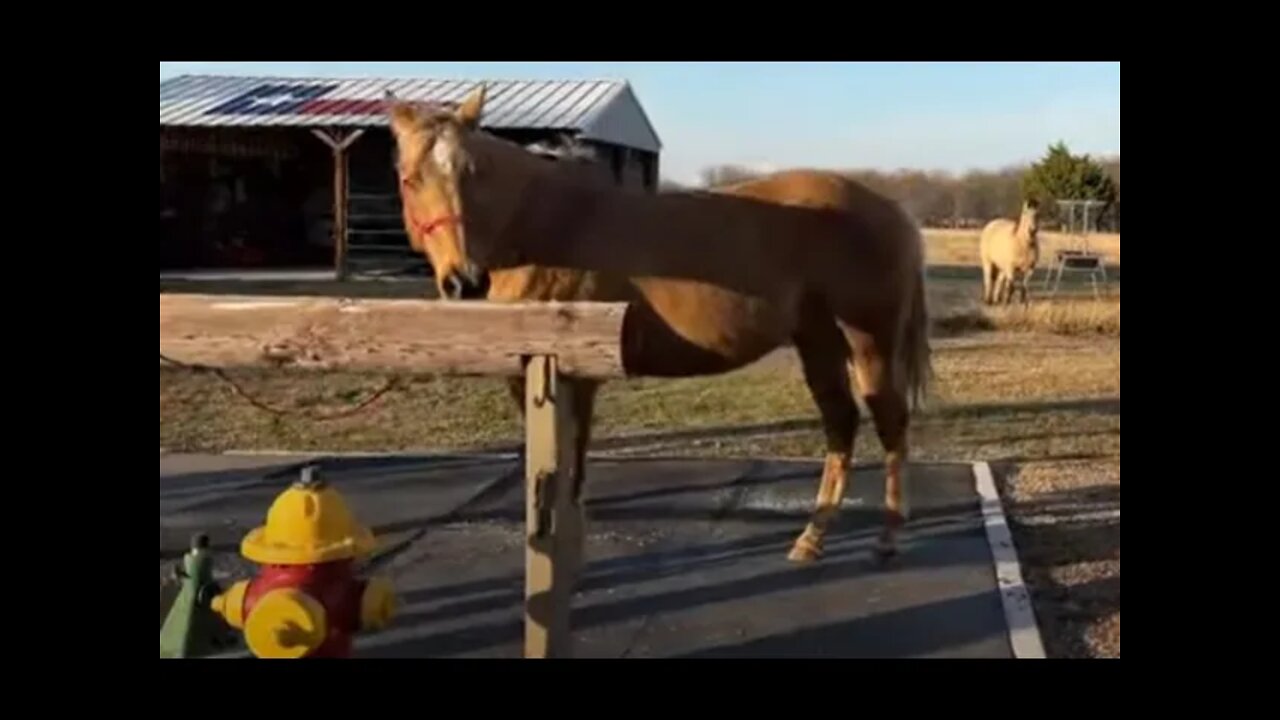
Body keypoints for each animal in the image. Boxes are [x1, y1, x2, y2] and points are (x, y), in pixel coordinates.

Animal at [384, 87, 936, 563]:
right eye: (411, 179)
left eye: (474, 175)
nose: (465, 281)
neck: (546, 223)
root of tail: (893, 212)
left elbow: (569, 461)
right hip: (817, 339)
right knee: (840, 423)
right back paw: (811, 539)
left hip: (869, 340)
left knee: (889, 423)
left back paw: (886, 539)